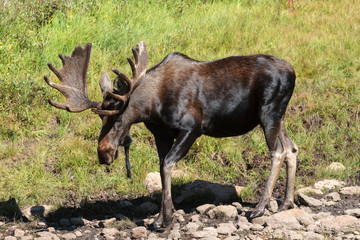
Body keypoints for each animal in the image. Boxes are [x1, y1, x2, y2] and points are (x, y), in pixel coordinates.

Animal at [45, 41, 298, 229]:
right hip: (279, 116)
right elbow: (161, 167)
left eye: (117, 118)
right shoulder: (162, 135)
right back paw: (286, 202)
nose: (103, 154)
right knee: (292, 148)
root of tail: (293, 72)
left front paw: (165, 219)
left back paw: (261, 207)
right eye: (100, 119)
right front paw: (163, 215)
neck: (151, 107)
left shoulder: (192, 128)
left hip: (269, 111)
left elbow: (167, 164)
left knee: (278, 151)